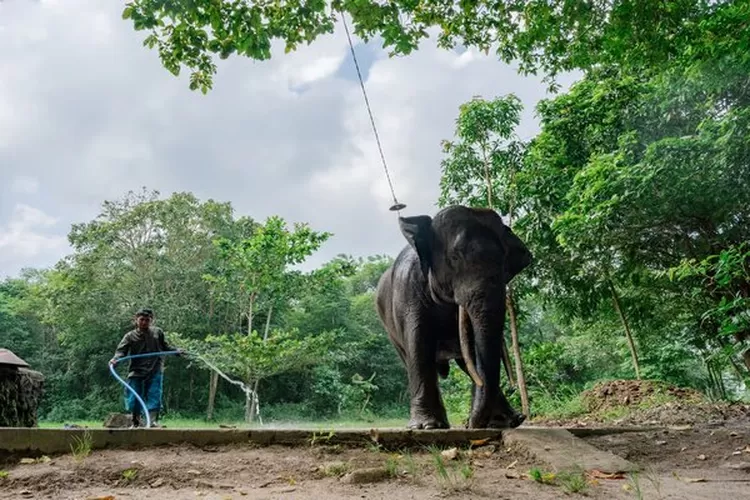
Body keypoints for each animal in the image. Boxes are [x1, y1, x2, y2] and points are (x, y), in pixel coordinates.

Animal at [376, 204, 536, 430]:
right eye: (454, 259)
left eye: (504, 264)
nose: (471, 425)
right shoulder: (409, 292)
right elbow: (419, 344)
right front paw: (426, 426)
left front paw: (498, 421)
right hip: (389, 329)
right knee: (408, 357)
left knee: (465, 362)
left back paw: (510, 420)